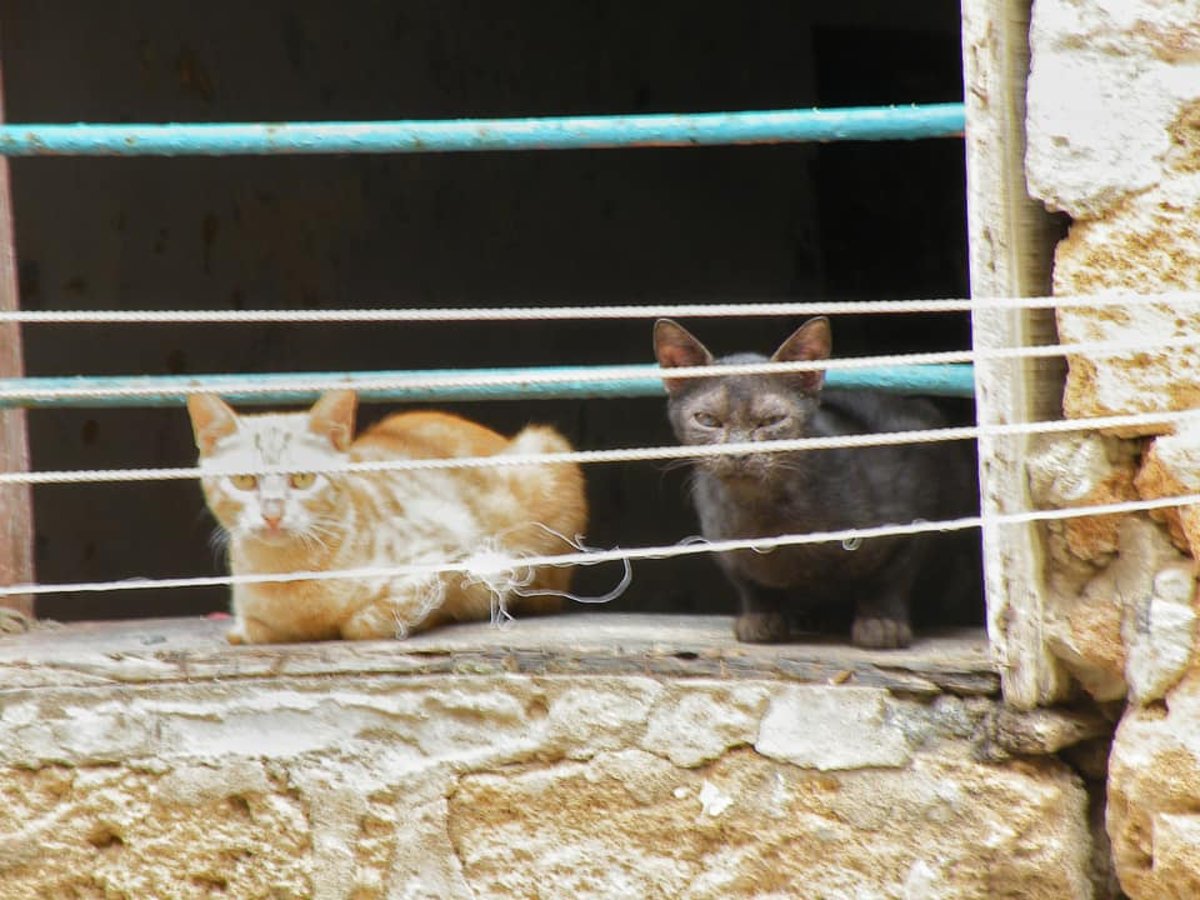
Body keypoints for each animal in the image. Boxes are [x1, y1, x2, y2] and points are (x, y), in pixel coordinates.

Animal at [184, 391, 588, 643]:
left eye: (302, 479)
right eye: (243, 480)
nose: (272, 513)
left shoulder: (451, 556)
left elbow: (366, 622)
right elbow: (252, 629)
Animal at [652, 316, 979, 648]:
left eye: (772, 420)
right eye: (707, 420)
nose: (738, 453)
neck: (765, 515)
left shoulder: (915, 510)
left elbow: (889, 579)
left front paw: (881, 624)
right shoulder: (724, 547)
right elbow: (750, 583)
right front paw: (759, 618)